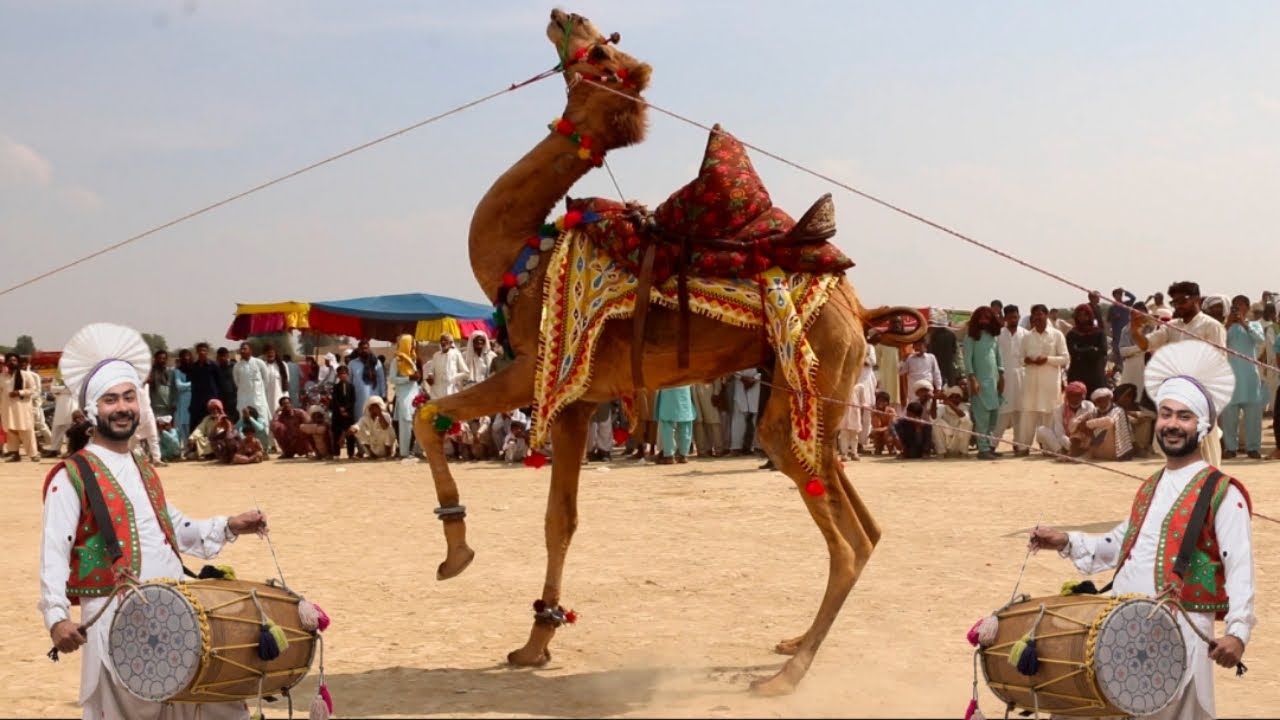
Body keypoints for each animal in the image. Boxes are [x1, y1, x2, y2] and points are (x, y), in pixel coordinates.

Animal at [412, 8, 925, 696]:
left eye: (602, 54)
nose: (564, 14)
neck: (522, 253)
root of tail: (863, 312)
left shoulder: (533, 370)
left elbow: (428, 415)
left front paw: (456, 555)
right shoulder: (578, 400)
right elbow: (560, 519)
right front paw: (534, 643)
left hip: (805, 384)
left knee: (841, 537)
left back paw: (786, 675)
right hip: (822, 393)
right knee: (865, 528)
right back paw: (795, 642)